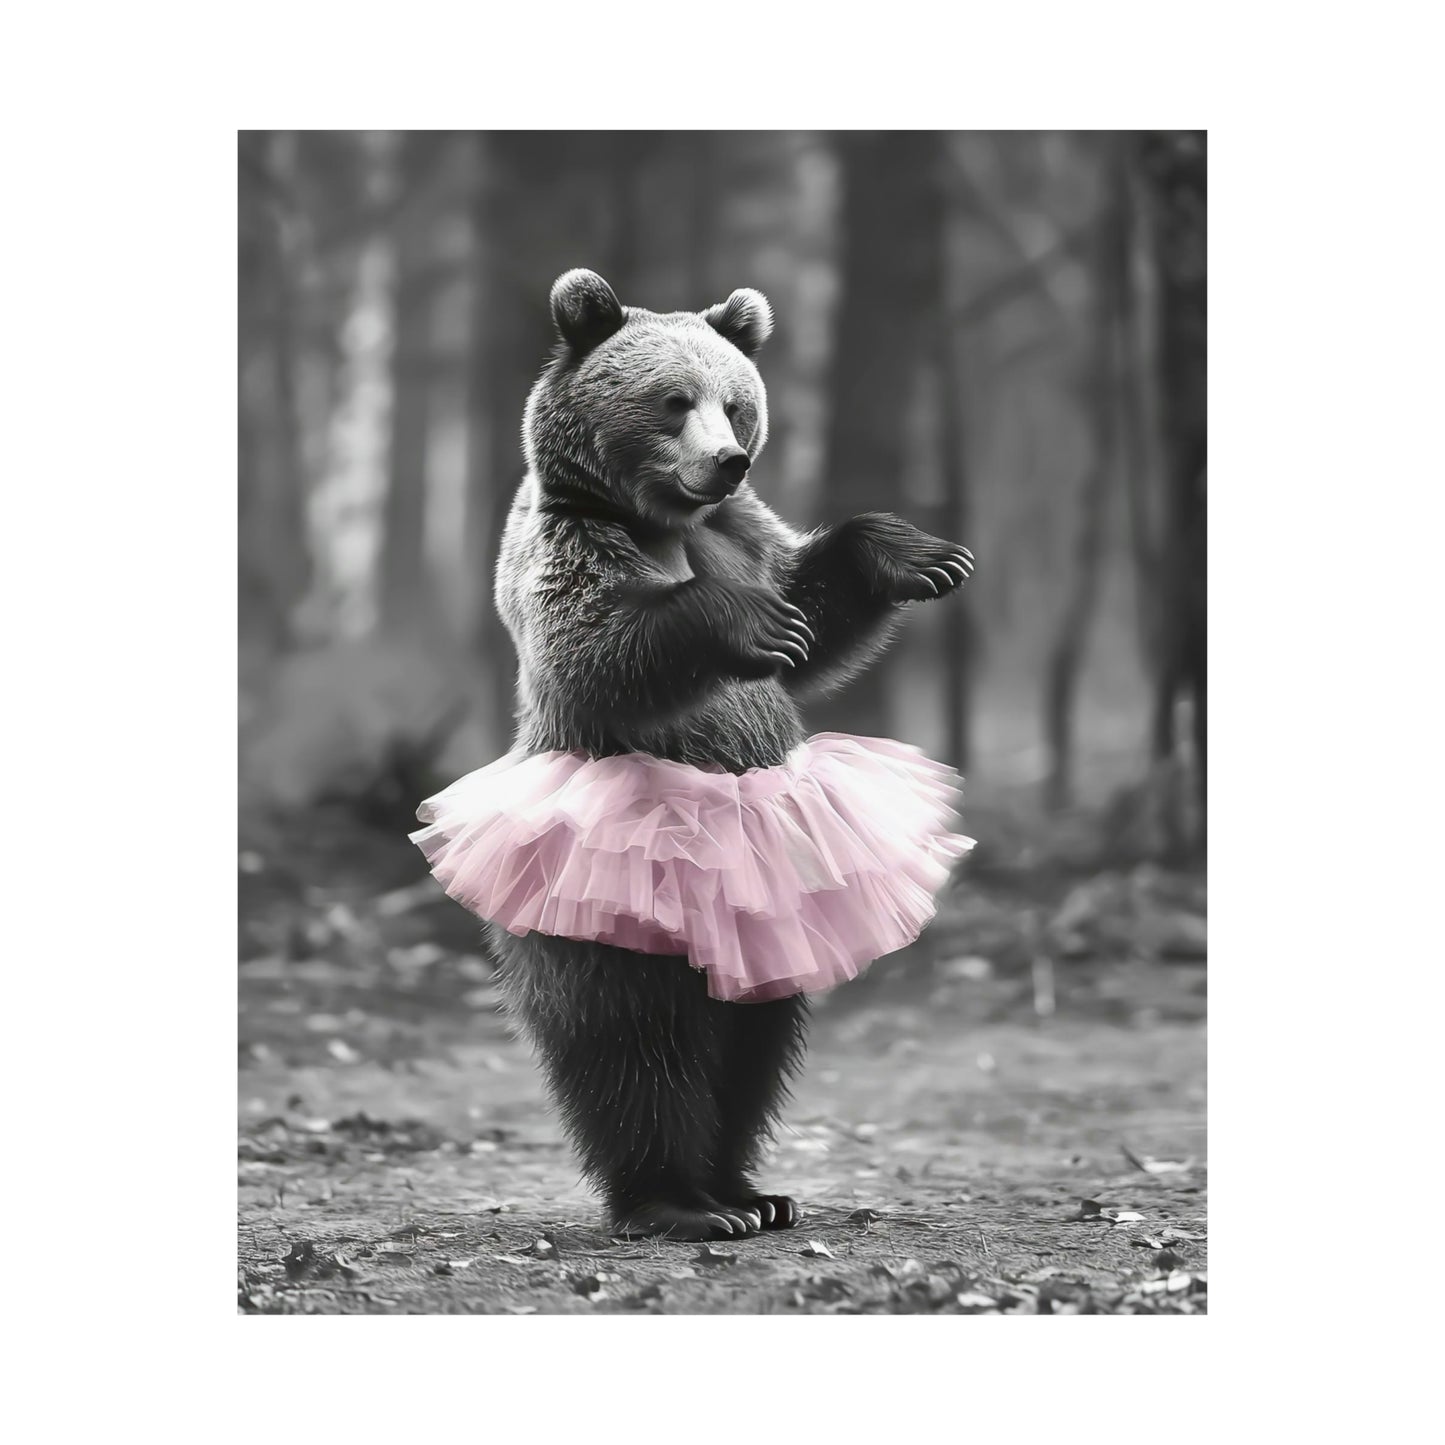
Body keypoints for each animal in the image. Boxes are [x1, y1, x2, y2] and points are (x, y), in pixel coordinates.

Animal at [487, 268, 972, 1241]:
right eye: (672, 402)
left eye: (736, 402)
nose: (727, 461)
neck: (661, 516)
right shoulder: (568, 543)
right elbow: (601, 644)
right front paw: (744, 621)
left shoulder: (740, 533)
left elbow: (812, 611)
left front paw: (919, 556)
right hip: (608, 896)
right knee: (633, 1032)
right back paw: (678, 1201)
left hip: (778, 900)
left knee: (758, 1033)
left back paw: (750, 1191)